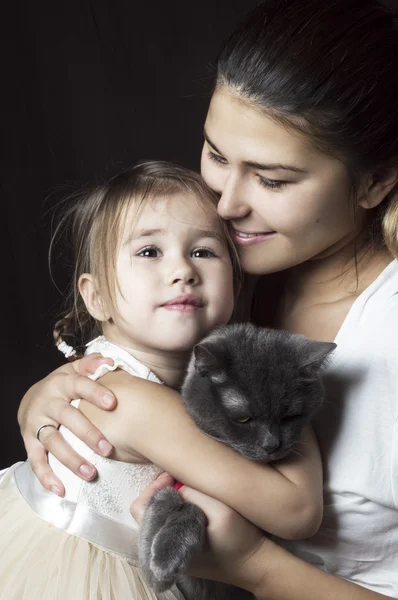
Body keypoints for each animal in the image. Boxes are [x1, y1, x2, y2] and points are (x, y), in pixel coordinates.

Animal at [138, 324, 334, 600]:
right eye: (242, 418)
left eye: (290, 416)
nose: (271, 445)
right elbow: (165, 497)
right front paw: (154, 566)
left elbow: (192, 508)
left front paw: (163, 562)